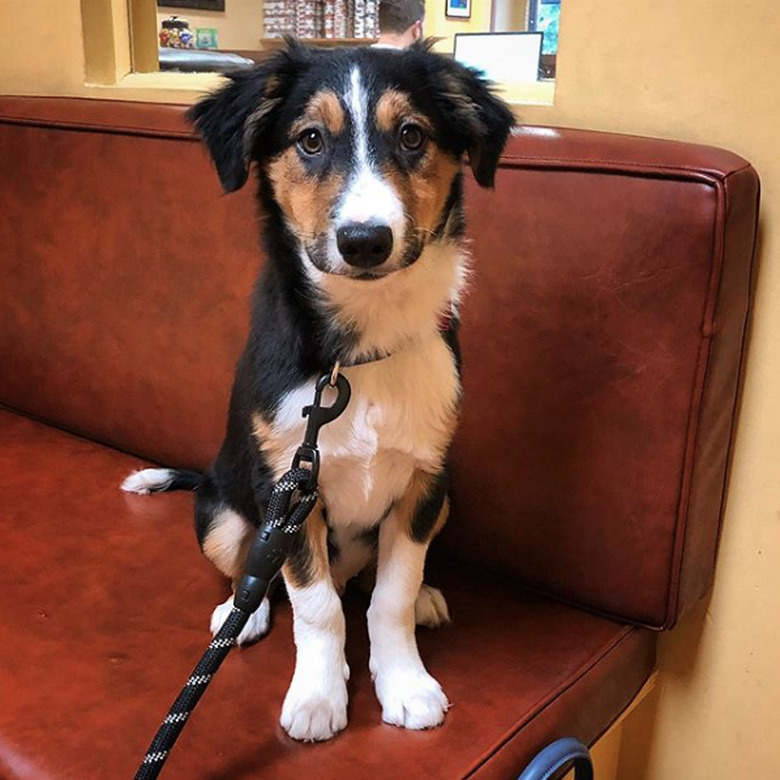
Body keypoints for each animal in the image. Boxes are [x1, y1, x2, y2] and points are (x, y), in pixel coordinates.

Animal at [120, 38, 512, 744]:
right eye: (309, 140)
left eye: (412, 135)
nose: (365, 241)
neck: (357, 352)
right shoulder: (292, 488)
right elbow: (316, 604)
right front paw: (317, 697)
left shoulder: (425, 481)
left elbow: (390, 598)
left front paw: (406, 682)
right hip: (223, 510)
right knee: (251, 569)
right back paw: (239, 614)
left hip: (445, 501)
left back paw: (426, 596)